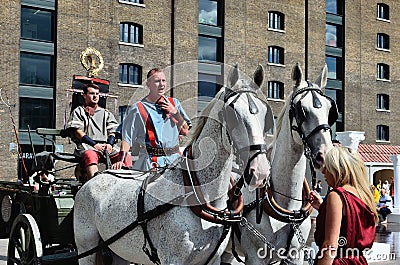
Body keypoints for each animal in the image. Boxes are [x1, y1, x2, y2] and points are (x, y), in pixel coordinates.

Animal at [73, 64, 274, 264]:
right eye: (232, 113)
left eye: (265, 115)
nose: (261, 171)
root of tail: (93, 179)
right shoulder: (172, 259)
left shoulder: (214, 258)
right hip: (86, 247)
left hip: (119, 250)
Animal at [223, 63, 340, 262]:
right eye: (301, 110)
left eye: (328, 111)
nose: (324, 155)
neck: (286, 206)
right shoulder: (255, 257)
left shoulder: (296, 255)